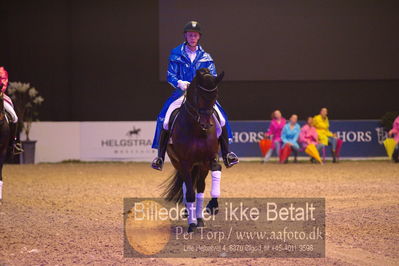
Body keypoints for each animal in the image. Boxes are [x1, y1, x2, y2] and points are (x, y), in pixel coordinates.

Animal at [163, 68, 225, 233]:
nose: (206, 124)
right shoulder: (185, 162)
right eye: (199, 95)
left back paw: (199, 219)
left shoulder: (209, 159)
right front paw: (191, 224)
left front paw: (212, 206)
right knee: (188, 186)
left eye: (215, 96)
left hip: (200, 166)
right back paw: (190, 216)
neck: (197, 130)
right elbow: (190, 192)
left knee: (200, 188)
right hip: (178, 162)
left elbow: (216, 170)